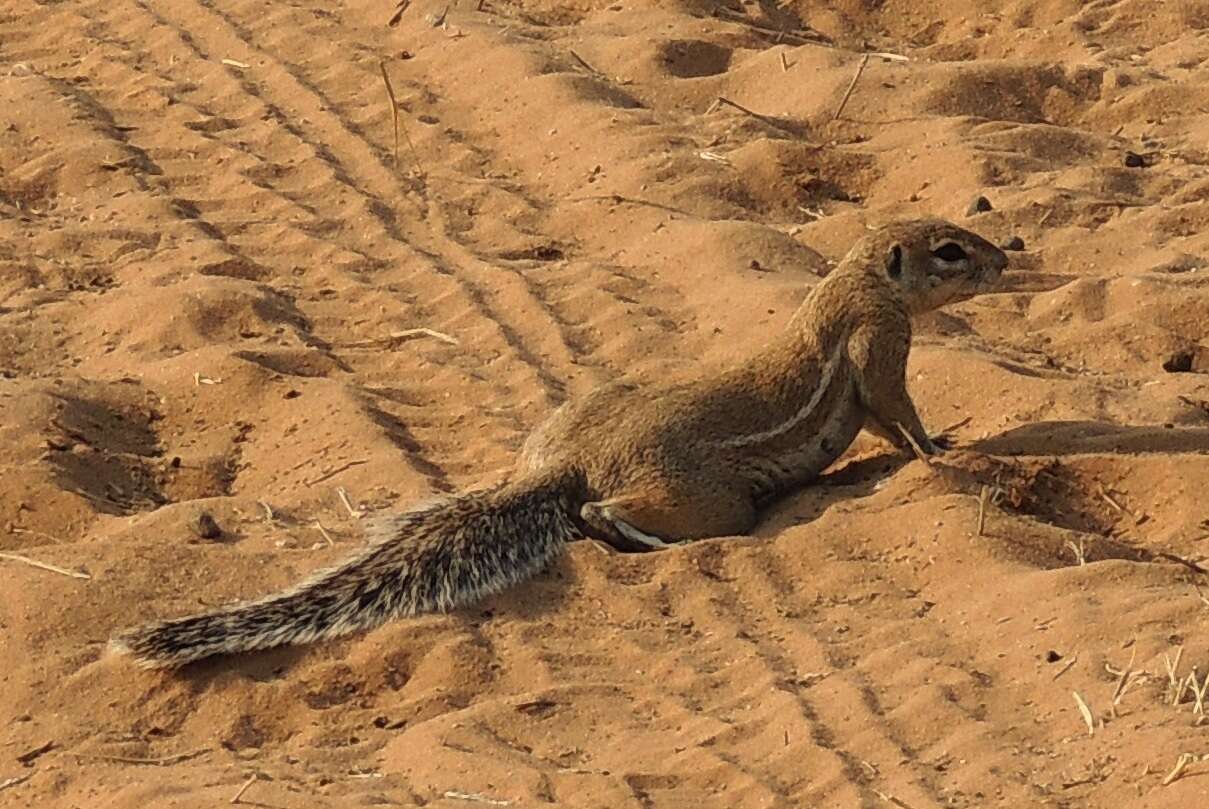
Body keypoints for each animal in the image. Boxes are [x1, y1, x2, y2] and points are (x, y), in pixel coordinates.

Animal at [113, 217, 1005, 667]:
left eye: (960, 230)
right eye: (950, 251)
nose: (1006, 257)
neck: (856, 277)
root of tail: (566, 460)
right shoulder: (877, 347)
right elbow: (898, 411)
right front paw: (943, 449)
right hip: (709, 499)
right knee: (610, 515)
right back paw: (637, 534)